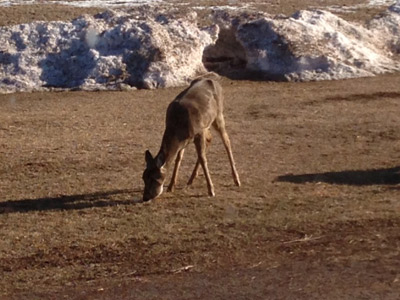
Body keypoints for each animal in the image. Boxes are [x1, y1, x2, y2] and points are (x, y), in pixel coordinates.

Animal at [141, 74, 241, 203]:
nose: (145, 197)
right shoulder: (185, 139)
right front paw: (171, 186)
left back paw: (236, 180)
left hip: (218, 116)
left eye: (154, 179)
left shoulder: (199, 132)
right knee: (210, 139)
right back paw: (191, 179)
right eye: (143, 177)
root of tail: (213, 79)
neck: (177, 125)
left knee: (226, 141)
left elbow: (203, 158)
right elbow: (179, 159)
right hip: (206, 125)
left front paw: (211, 190)